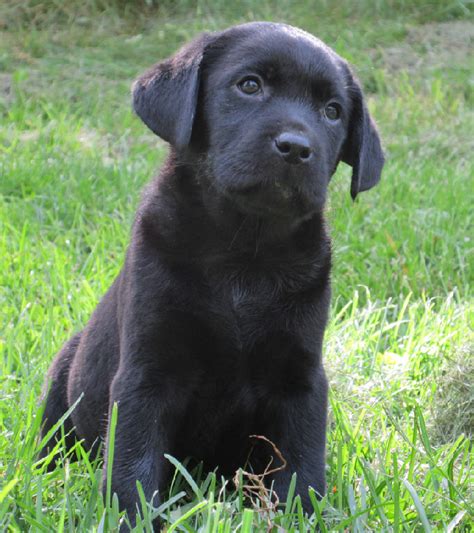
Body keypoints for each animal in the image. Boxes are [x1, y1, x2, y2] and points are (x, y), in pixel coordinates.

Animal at [39, 21, 384, 524]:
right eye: (249, 85)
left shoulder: (300, 377)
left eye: (333, 111)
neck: (244, 251)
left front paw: (299, 515)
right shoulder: (147, 372)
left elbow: (302, 461)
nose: (297, 148)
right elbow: (133, 463)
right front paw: (131, 518)